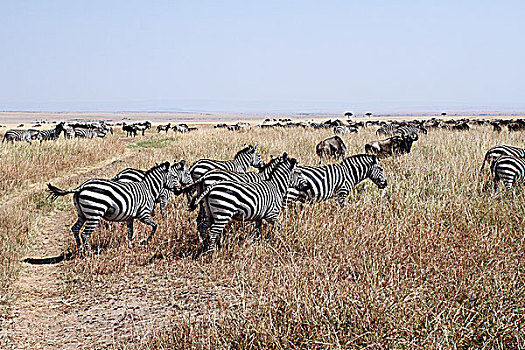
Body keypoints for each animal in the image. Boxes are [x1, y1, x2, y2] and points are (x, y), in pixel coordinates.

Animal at [46, 160, 187, 253]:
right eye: (175, 176)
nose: (179, 191)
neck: (149, 189)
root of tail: (80, 187)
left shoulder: (130, 217)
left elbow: (130, 231)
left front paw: (130, 246)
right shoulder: (144, 214)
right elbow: (155, 226)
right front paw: (146, 241)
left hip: (82, 214)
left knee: (75, 229)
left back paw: (80, 250)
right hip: (94, 213)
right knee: (85, 234)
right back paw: (89, 253)